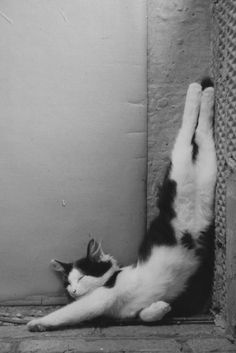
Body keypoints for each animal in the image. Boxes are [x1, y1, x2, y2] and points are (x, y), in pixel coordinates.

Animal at [27, 79, 216, 330]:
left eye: (82, 277)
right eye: (68, 283)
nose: (74, 291)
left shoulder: (99, 300)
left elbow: (68, 312)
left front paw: (37, 322)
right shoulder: (129, 313)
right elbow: (146, 315)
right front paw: (160, 308)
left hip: (180, 168)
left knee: (187, 134)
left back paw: (196, 90)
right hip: (207, 176)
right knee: (204, 137)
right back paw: (208, 93)